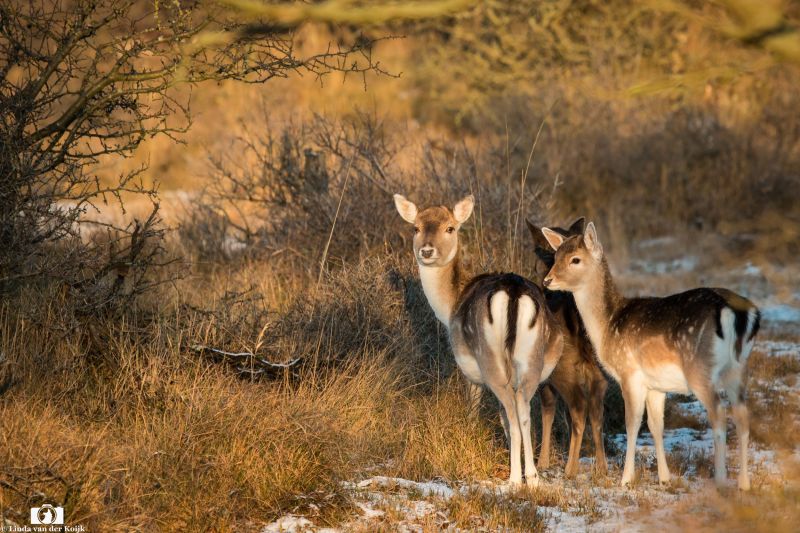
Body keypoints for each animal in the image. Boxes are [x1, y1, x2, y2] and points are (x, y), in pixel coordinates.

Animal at [393, 193, 563, 487]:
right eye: (415, 227)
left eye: (450, 227)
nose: (426, 251)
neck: (449, 306)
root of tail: (513, 293)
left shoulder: (469, 371)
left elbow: (474, 409)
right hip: (532, 359)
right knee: (524, 412)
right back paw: (532, 477)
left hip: (489, 359)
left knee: (513, 412)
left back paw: (515, 479)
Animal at [525, 217, 608, 478]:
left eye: (536, 263)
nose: (545, 279)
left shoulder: (543, 377)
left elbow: (548, 411)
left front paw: (542, 461)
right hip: (600, 374)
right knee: (596, 413)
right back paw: (602, 467)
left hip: (562, 368)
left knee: (578, 410)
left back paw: (570, 470)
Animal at [540, 222, 760, 490]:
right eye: (556, 256)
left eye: (575, 259)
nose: (548, 280)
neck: (607, 326)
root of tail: (738, 314)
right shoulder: (656, 384)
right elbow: (656, 425)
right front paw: (664, 478)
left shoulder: (629, 373)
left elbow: (632, 424)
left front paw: (626, 479)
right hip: (739, 368)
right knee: (742, 416)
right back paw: (744, 483)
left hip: (701, 369)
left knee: (719, 416)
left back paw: (720, 481)